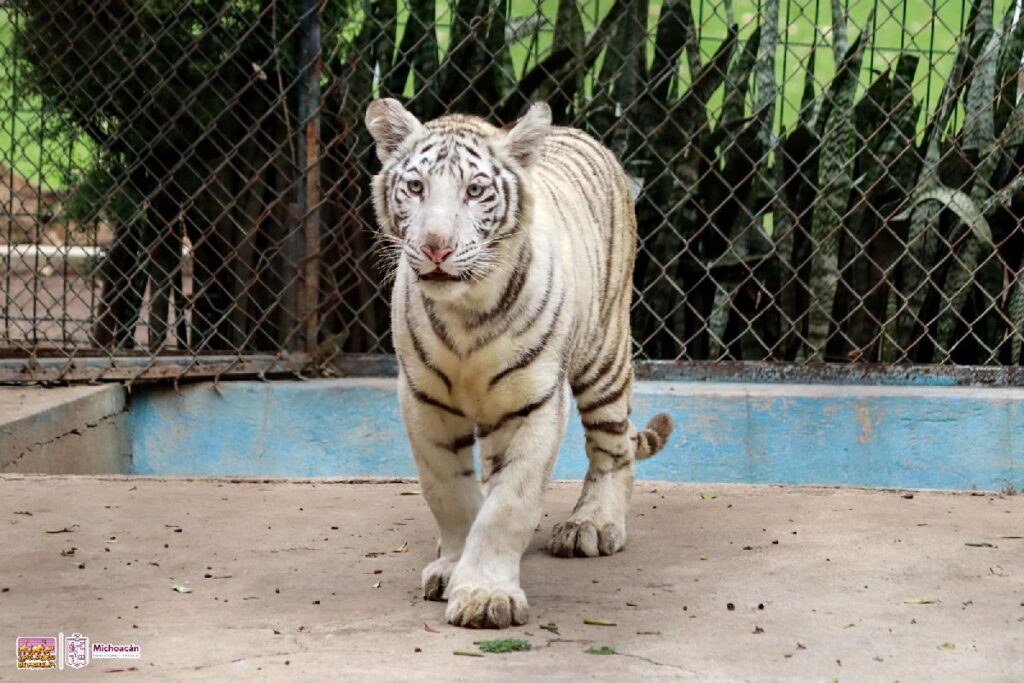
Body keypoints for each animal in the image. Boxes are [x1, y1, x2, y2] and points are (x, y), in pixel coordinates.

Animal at [366, 100, 671, 630]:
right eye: (416, 187)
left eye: (474, 190)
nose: (436, 247)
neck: (466, 311)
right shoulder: (422, 399)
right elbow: (448, 493)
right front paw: (453, 568)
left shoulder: (536, 400)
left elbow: (509, 504)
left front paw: (486, 594)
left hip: (604, 358)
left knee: (614, 449)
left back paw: (592, 525)